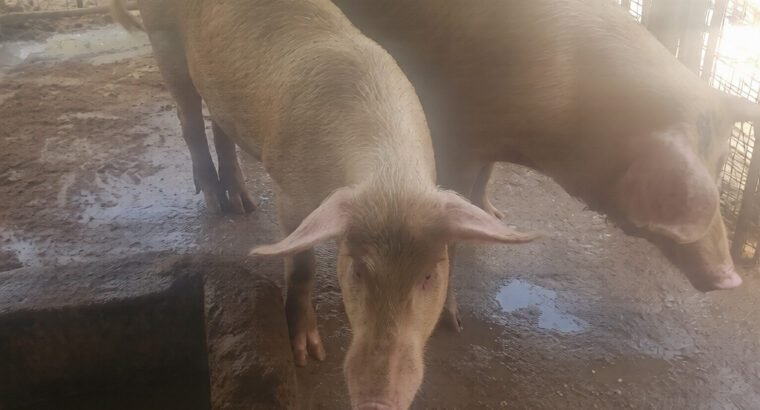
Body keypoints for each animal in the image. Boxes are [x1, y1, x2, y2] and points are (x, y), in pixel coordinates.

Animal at [112, 0, 539, 408]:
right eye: (357, 270)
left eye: (430, 275)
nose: (376, 403)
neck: (390, 179)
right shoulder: (289, 193)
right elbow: (301, 266)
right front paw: (307, 355)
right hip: (163, 42)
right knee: (188, 119)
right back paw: (218, 207)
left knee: (220, 124)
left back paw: (245, 205)